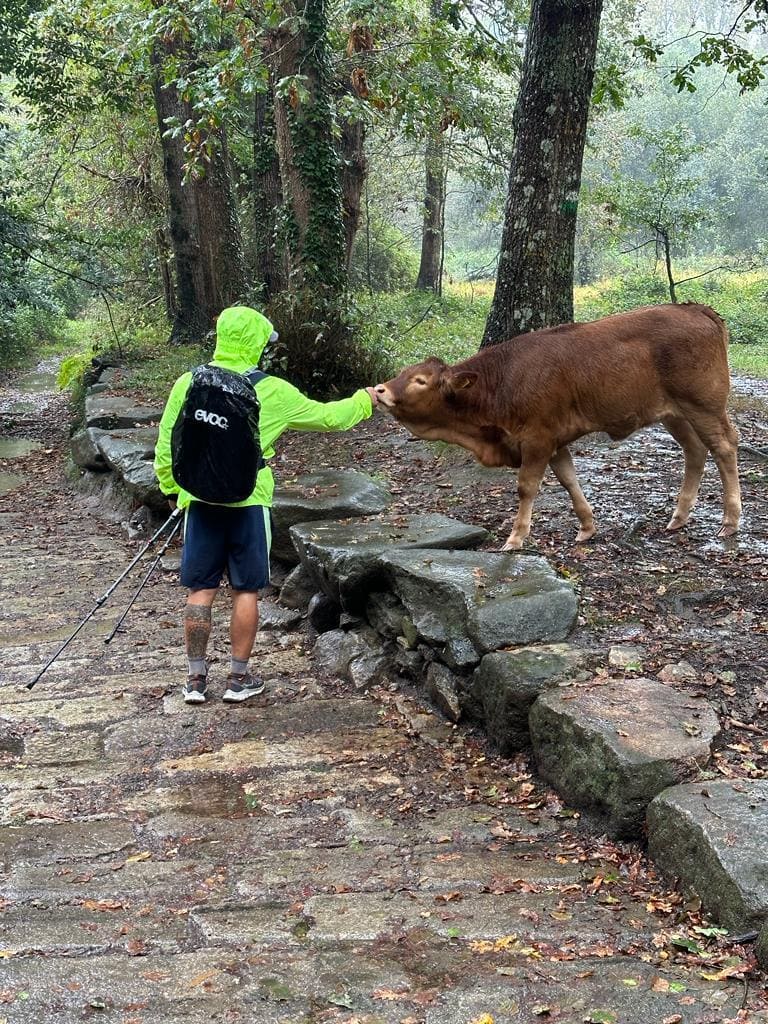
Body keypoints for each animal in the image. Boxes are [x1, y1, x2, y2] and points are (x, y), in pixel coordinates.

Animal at [374, 303, 741, 550]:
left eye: (420, 381)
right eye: (404, 373)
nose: (379, 390)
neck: (502, 382)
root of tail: (696, 309)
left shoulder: (536, 440)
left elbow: (527, 487)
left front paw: (516, 537)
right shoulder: (555, 441)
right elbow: (568, 479)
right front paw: (587, 527)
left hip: (704, 407)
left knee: (723, 448)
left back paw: (730, 521)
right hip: (674, 414)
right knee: (695, 451)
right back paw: (678, 518)